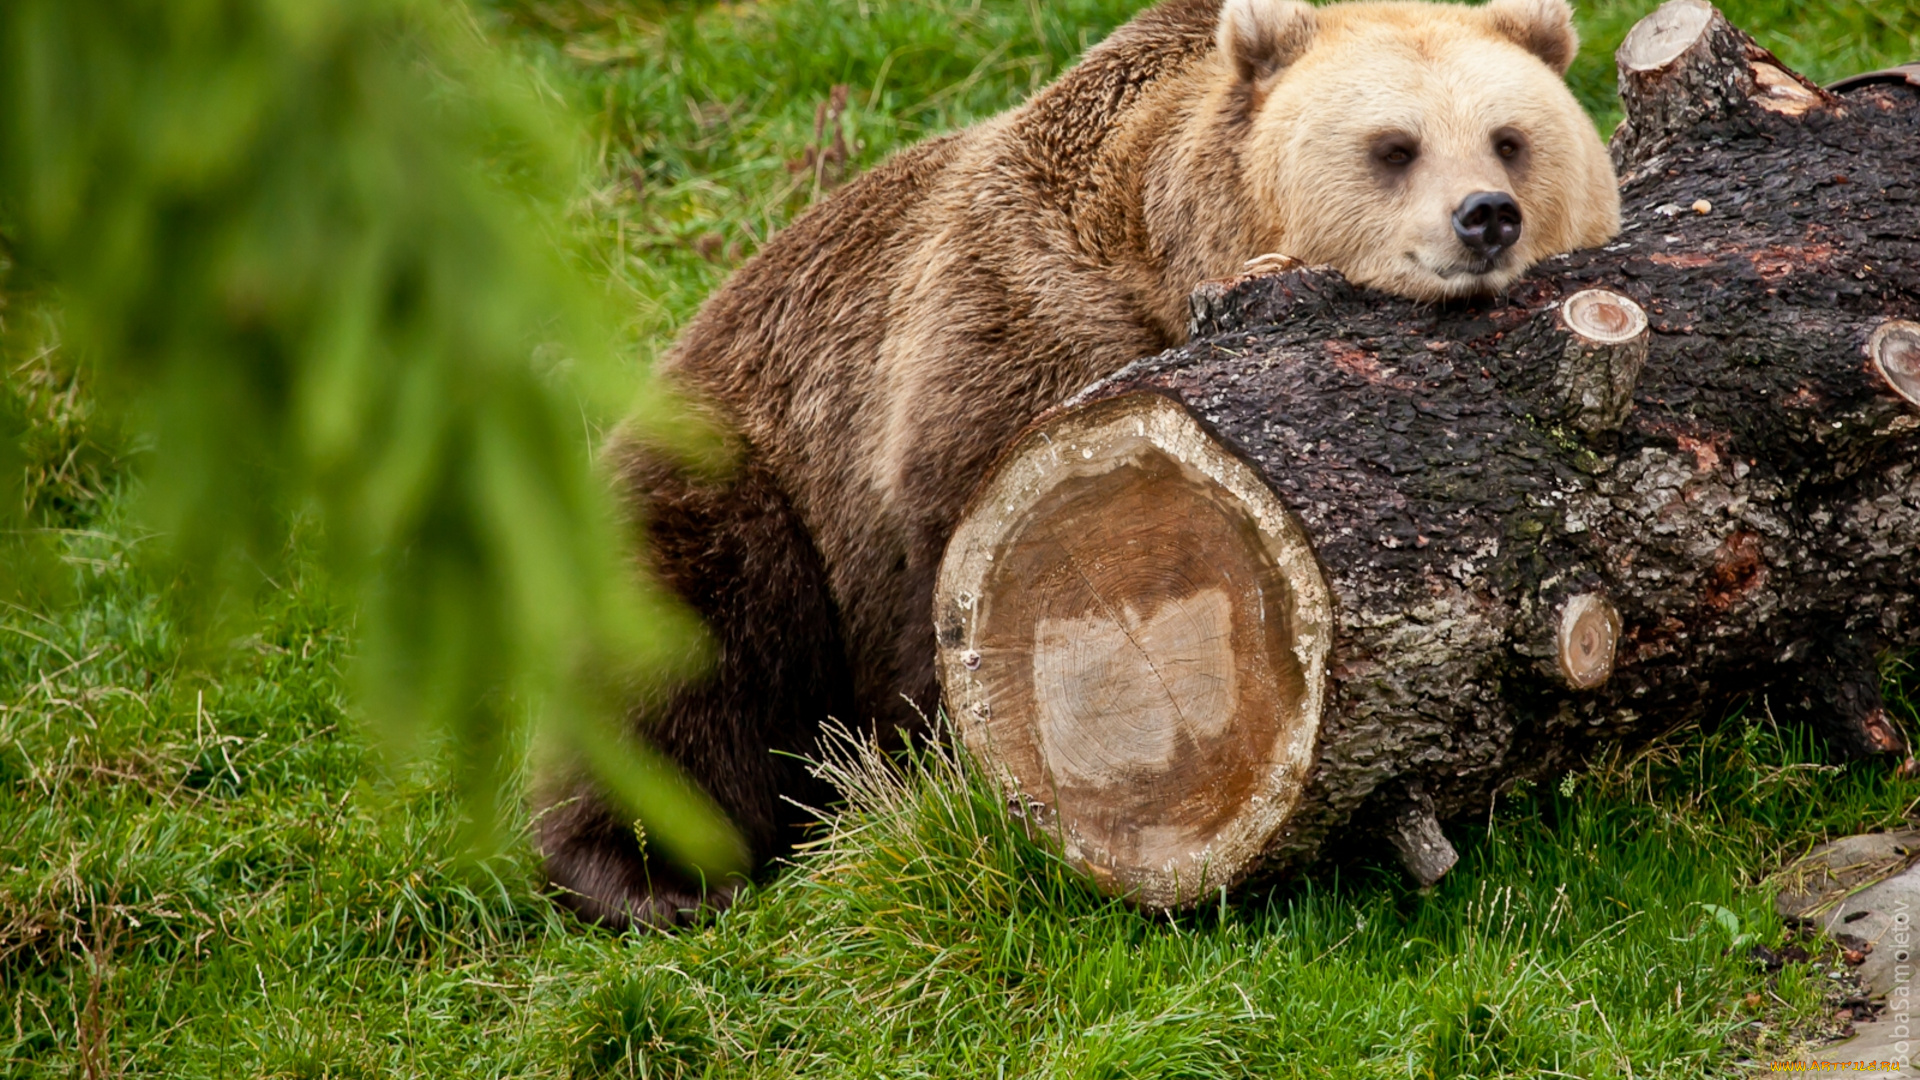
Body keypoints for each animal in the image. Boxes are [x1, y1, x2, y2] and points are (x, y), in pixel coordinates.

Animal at [537, 0, 1620, 926]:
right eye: (1393, 146)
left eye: (1510, 138)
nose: (1485, 216)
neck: (1174, 256)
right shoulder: (1010, 337)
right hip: (742, 473)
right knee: (677, 648)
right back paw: (650, 877)